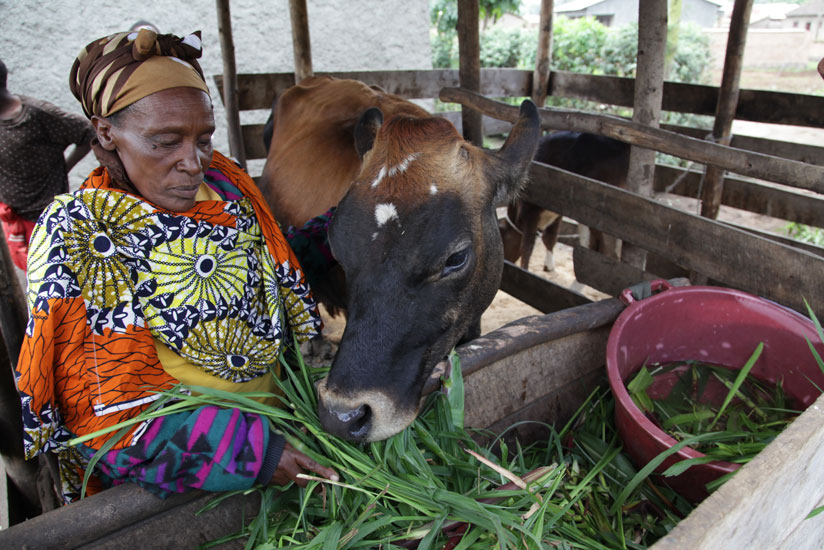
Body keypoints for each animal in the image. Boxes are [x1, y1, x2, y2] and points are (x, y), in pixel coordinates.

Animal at [500, 131, 630, 271]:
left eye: (503, 240)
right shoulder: (557, 210)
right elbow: (550, 238)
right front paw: (549, 265)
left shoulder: (531, 210)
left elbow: (527, 246)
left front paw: (524, 269)